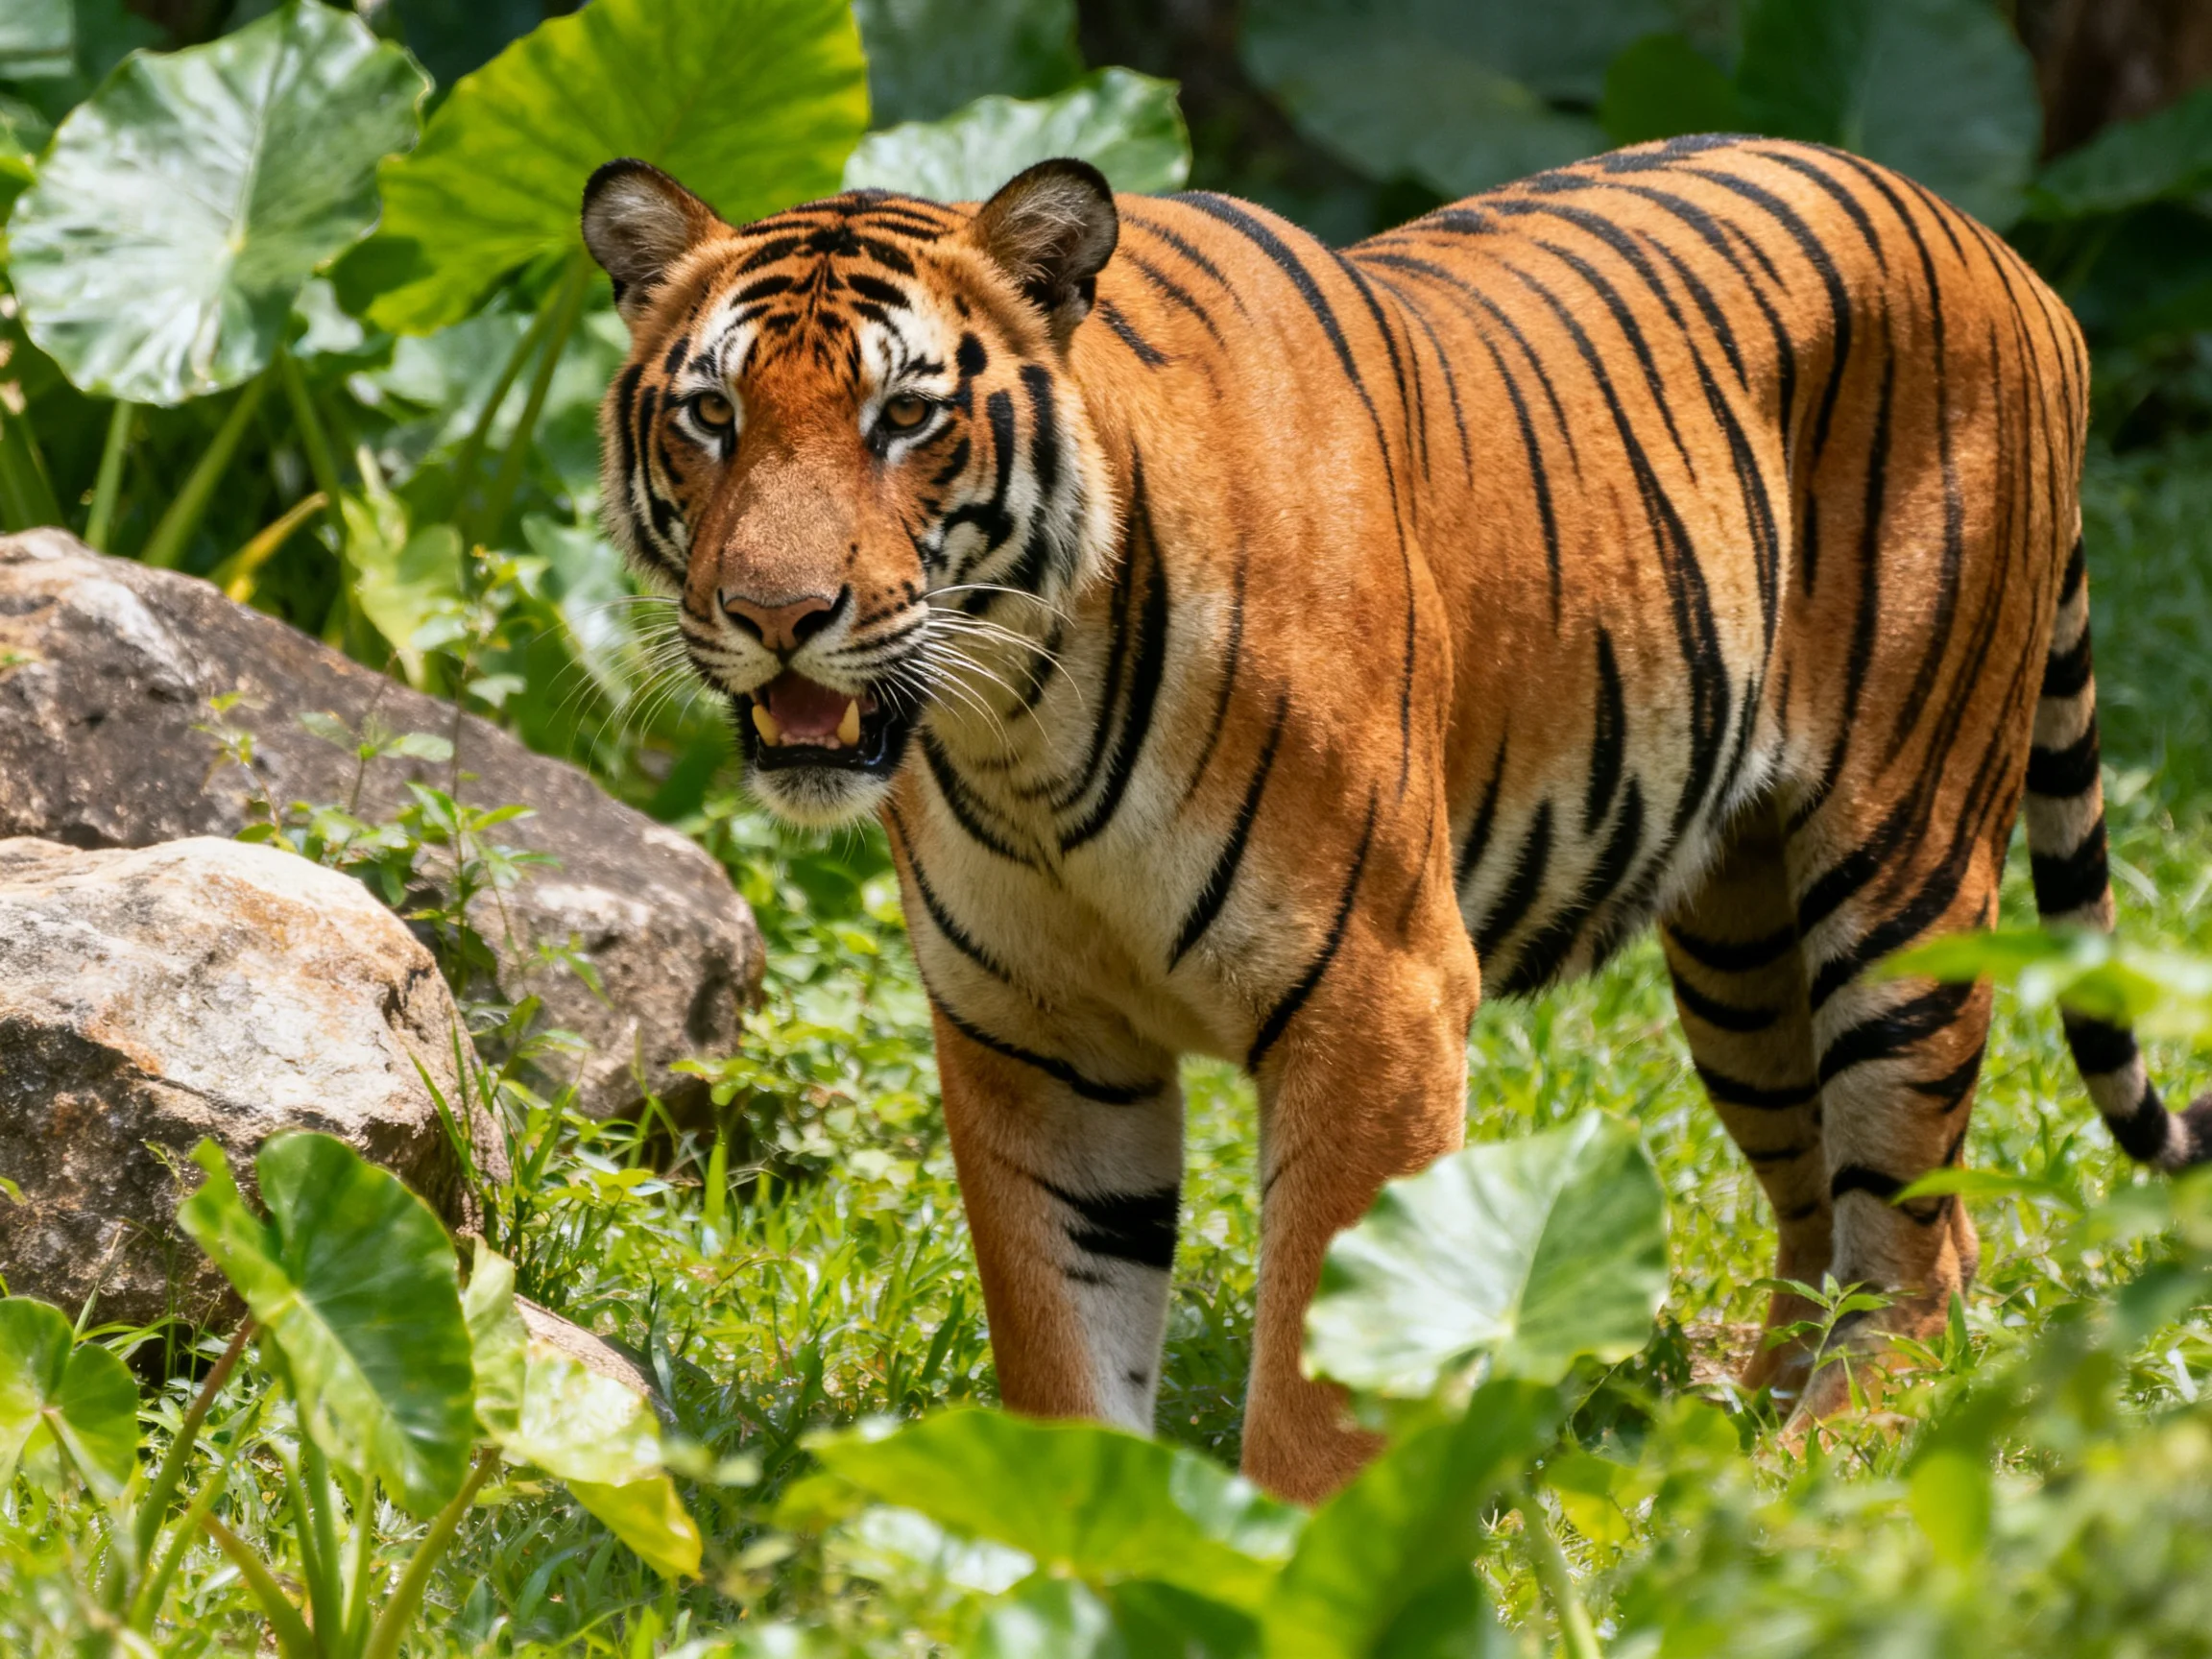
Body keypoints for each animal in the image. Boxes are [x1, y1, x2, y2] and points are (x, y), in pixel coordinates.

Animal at [580, 133, 2212, 1502]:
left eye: (905, 418)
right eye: (711, 417)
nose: (775, 615)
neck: (1020, 728)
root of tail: (2003, 253)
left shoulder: (1378, 996)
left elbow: (1323, 1363)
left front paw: (1301, 1560)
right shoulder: (1032, 1034)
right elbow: (1064, 1341)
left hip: (1901, 871)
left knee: (1915, 1236)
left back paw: (1820, 1468)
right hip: (1743, 953)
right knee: (1855, 1211)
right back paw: (1728, 1435)